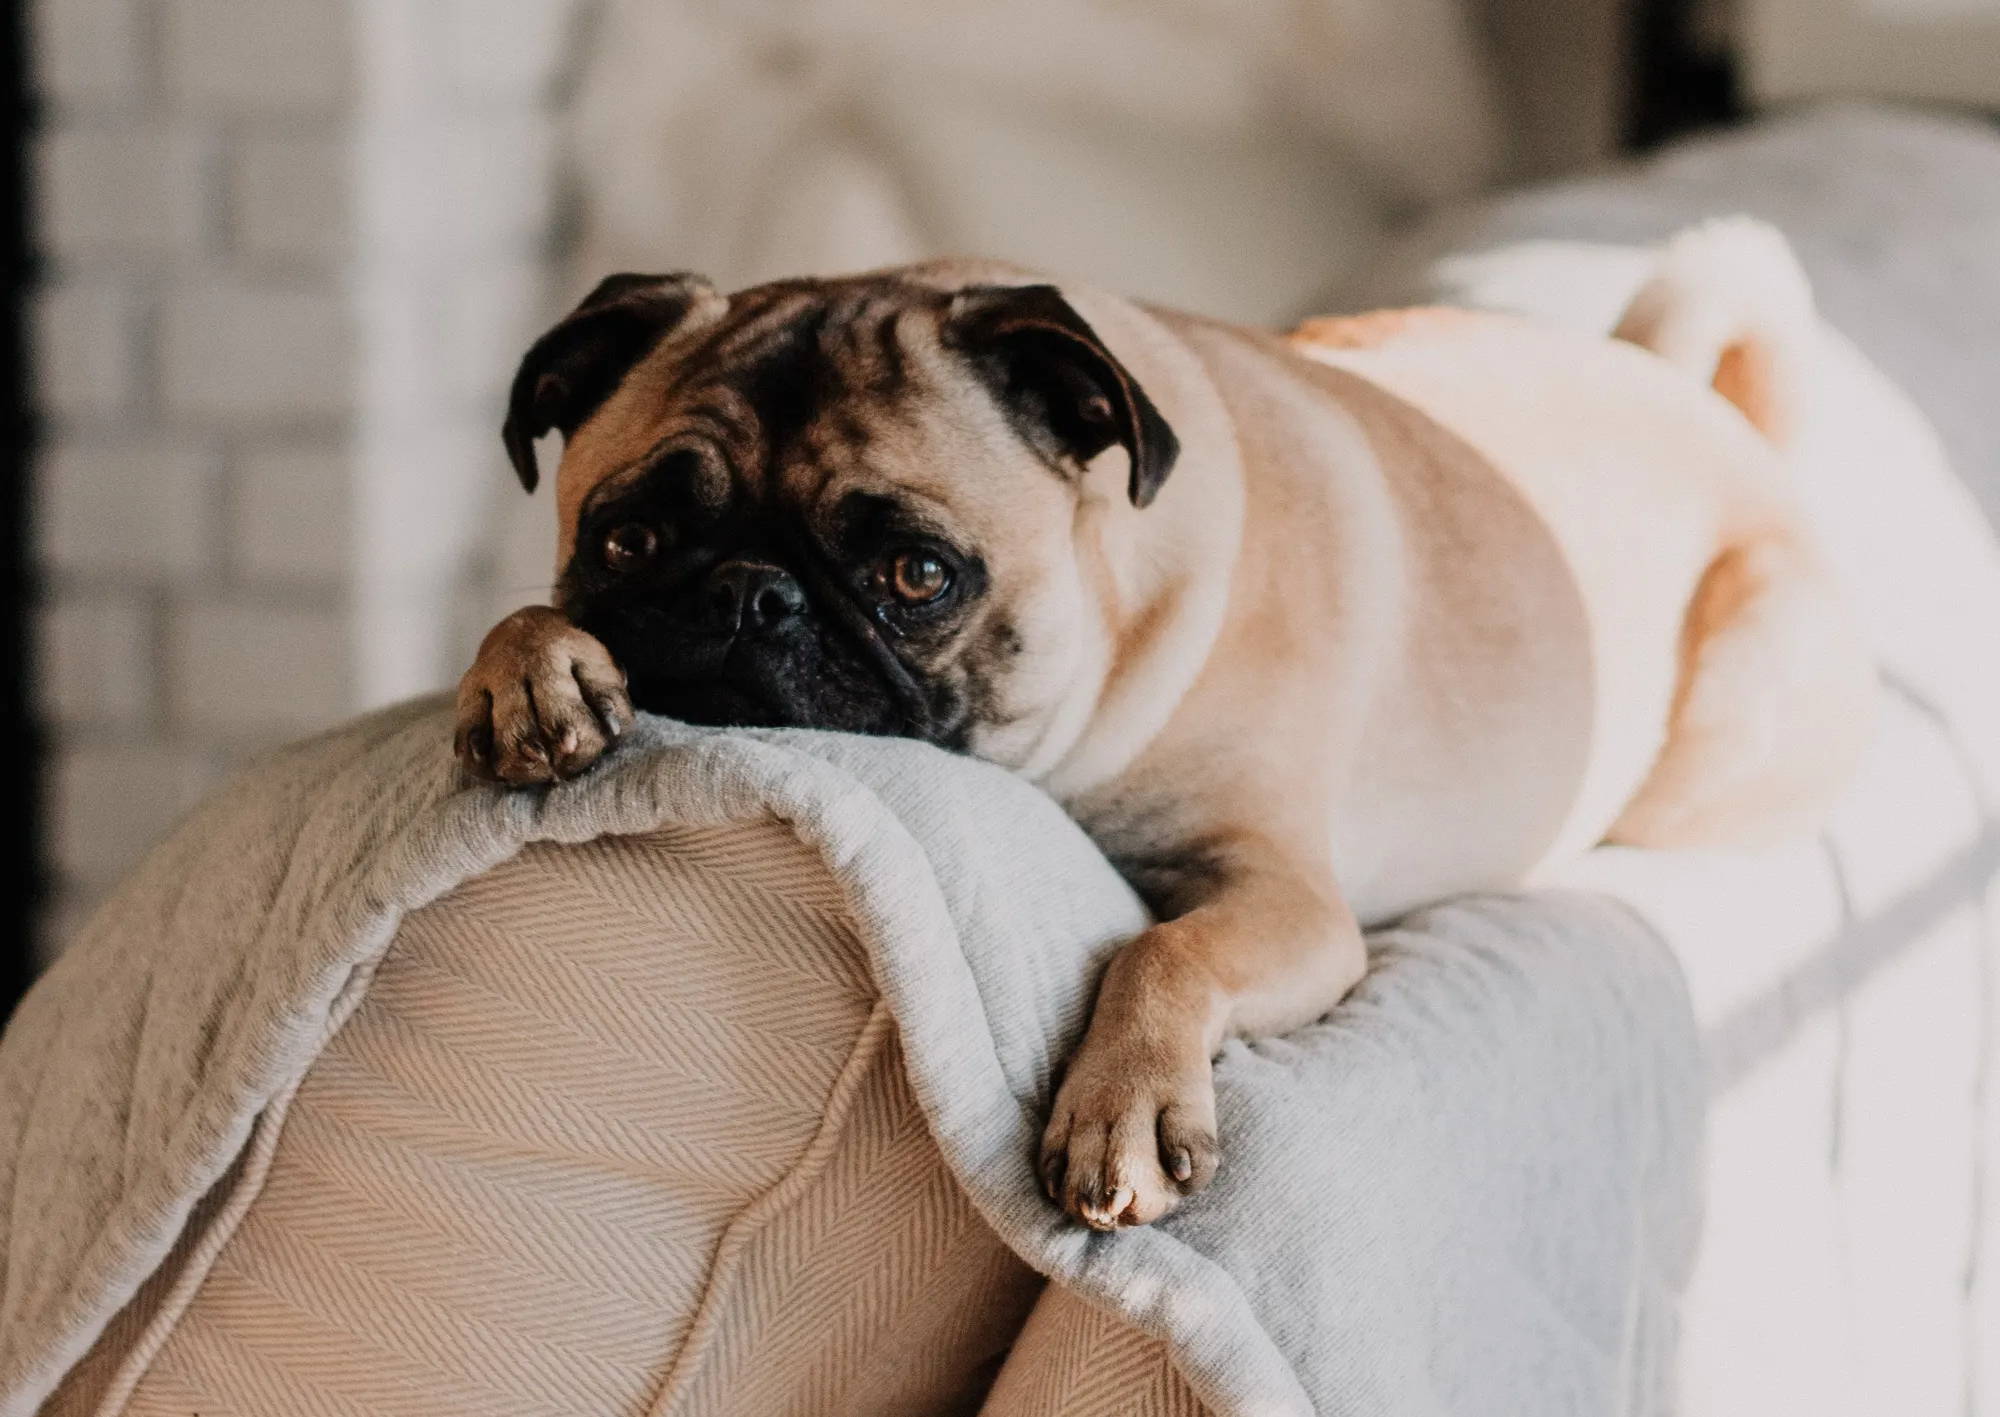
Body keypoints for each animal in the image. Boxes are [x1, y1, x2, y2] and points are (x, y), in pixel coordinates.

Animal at [454, 218, 1872, 1224]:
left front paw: (1123, 1106)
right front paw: (529, 667)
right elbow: (521, 620)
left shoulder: (1286, 899)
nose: (753, 597)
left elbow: (1162, 951)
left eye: (917, 575)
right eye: (628, 540)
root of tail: (1708, 411)